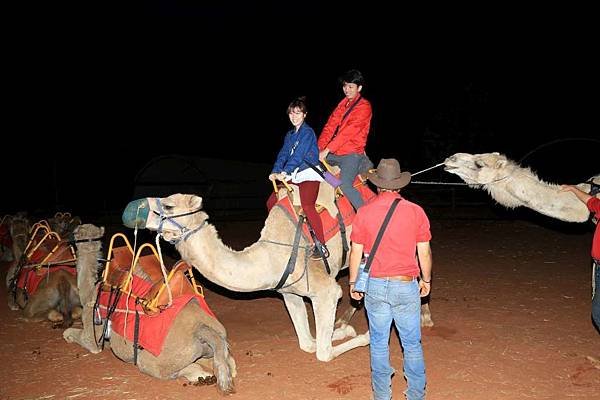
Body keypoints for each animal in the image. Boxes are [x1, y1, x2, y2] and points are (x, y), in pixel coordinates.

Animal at [62, 223, 237, 396]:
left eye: (76, 232)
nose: (68, 237)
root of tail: (202, 329)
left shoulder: (93, 327)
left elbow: (83, 340)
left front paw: (67, 336)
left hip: (156, 359)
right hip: (214, 338)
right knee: (226, 360)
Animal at [122, 193, 432, 362]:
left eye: (169, 206)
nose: (131, 208)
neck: (270, 257)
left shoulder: (325, 291)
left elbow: (323, 352)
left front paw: (365, 335)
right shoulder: (290, 293)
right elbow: (308, 343)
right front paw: (341, 330)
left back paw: (424, 318)